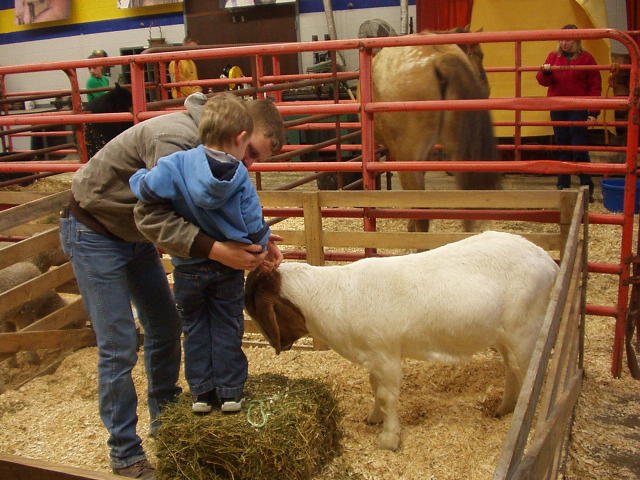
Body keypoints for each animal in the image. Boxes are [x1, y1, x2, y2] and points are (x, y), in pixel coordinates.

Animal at [245, 231, 559, 450]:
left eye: (255, 309)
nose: (278, 344)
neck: (333, 297)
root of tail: (548, 262)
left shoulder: (386, 354)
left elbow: (387, 395)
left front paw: (388, 439)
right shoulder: (373, 356)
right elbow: (374, 387)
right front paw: (373, 418)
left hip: (525, 330)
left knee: (529, 374)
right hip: (507, 336)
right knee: (512, 371)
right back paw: (504, 409)